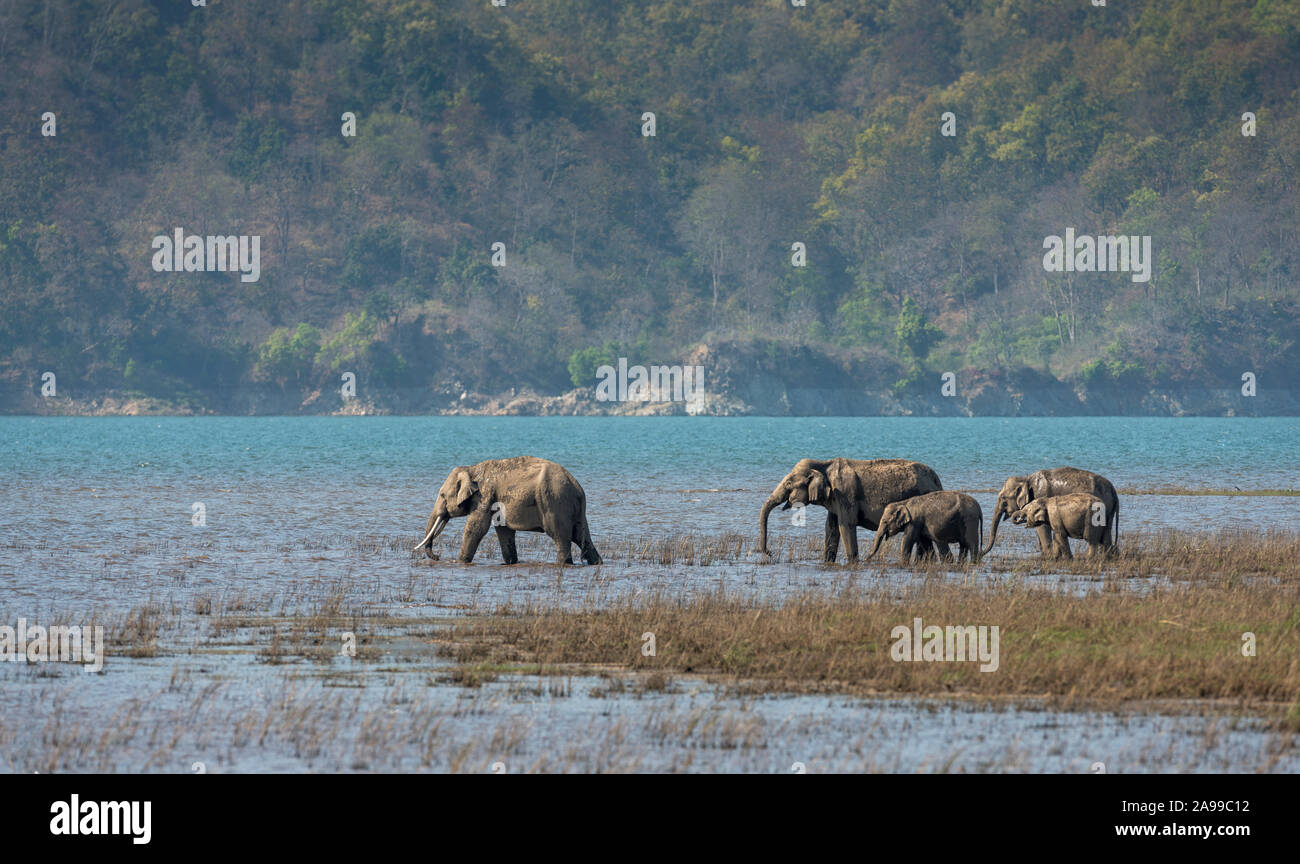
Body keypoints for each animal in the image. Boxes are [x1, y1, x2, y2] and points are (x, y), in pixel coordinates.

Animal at [410, 454, 603, 563]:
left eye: (442, 495)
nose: (438, 557)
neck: (472, 468)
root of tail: (577, 488)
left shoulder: (485, 496)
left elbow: (476, 528)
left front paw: (460, 562)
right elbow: (503, 530)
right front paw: (511, 562)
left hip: (555, 503)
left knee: (560, 536)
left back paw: (564, 563)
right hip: (572, 509)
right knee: (580, 535)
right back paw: (597, 562)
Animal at [759, 454, 941, 563]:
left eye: (788, 484)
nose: (770, 553)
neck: (824, 464)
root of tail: (937, 480)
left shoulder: (845, 495)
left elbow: (845, 525)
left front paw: (853, 563)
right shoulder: (834, 500)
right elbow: (831, 528)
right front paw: (827, 562)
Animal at [982, 467, 1118, 556]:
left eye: (1003, 498)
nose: (981, 553)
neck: (1026, 479)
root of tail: (1114, 491)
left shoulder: (1041, 495)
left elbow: (1042, 527)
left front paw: (1049, 556)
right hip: (1108, 511)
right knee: (1107, 532)